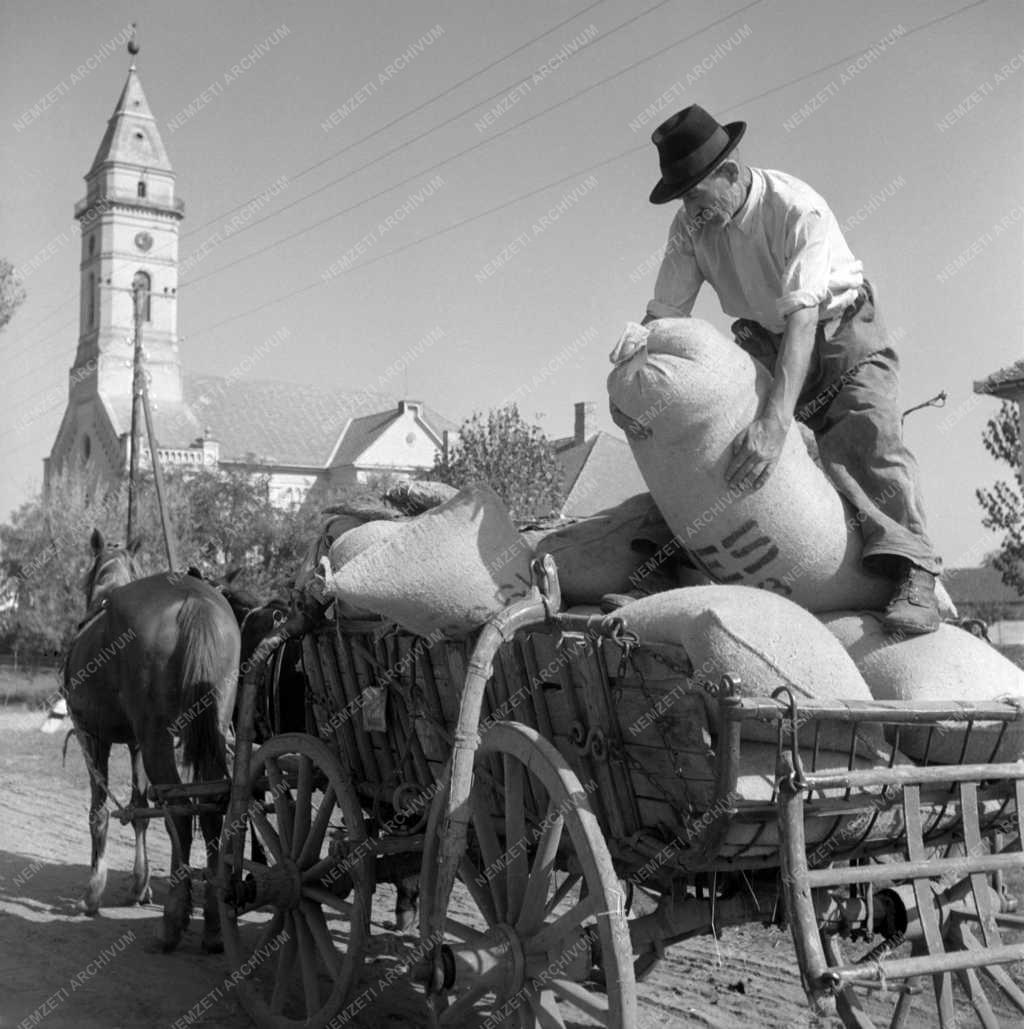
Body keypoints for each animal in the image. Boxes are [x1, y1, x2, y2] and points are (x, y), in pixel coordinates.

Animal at [63, 535, 239, 950]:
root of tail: (194, 599)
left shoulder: (92, 737)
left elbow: (99, 812)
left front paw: (93, 893)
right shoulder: (136, 744)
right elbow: (141, 808)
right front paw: (139, 886)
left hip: (157, 739)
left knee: (181, 811)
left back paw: (173, 920)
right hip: (206, 733)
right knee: (209, 807)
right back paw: (212, 924)